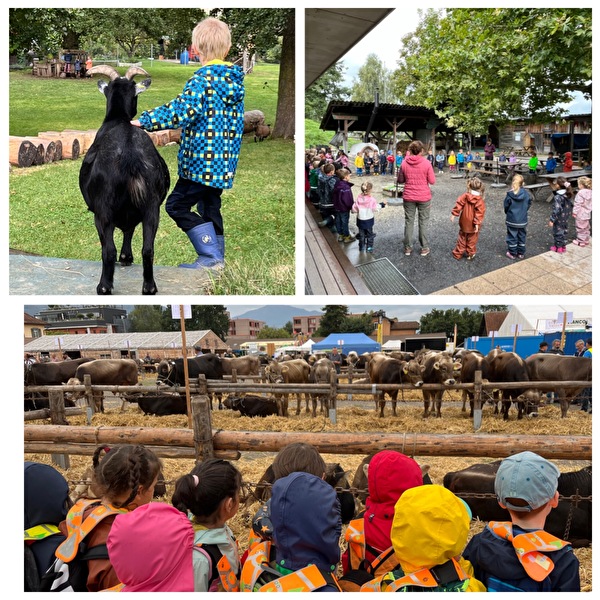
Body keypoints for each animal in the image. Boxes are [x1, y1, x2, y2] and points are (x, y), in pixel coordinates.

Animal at [78, 64, 170, 294]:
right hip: (152, 206)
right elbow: (129, 229)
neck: (118, 119)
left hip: (103, 210)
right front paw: (127, 257)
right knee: (148, 248)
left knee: (107, 249)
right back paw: (149, 287)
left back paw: (103, 287)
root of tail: (130, 155)